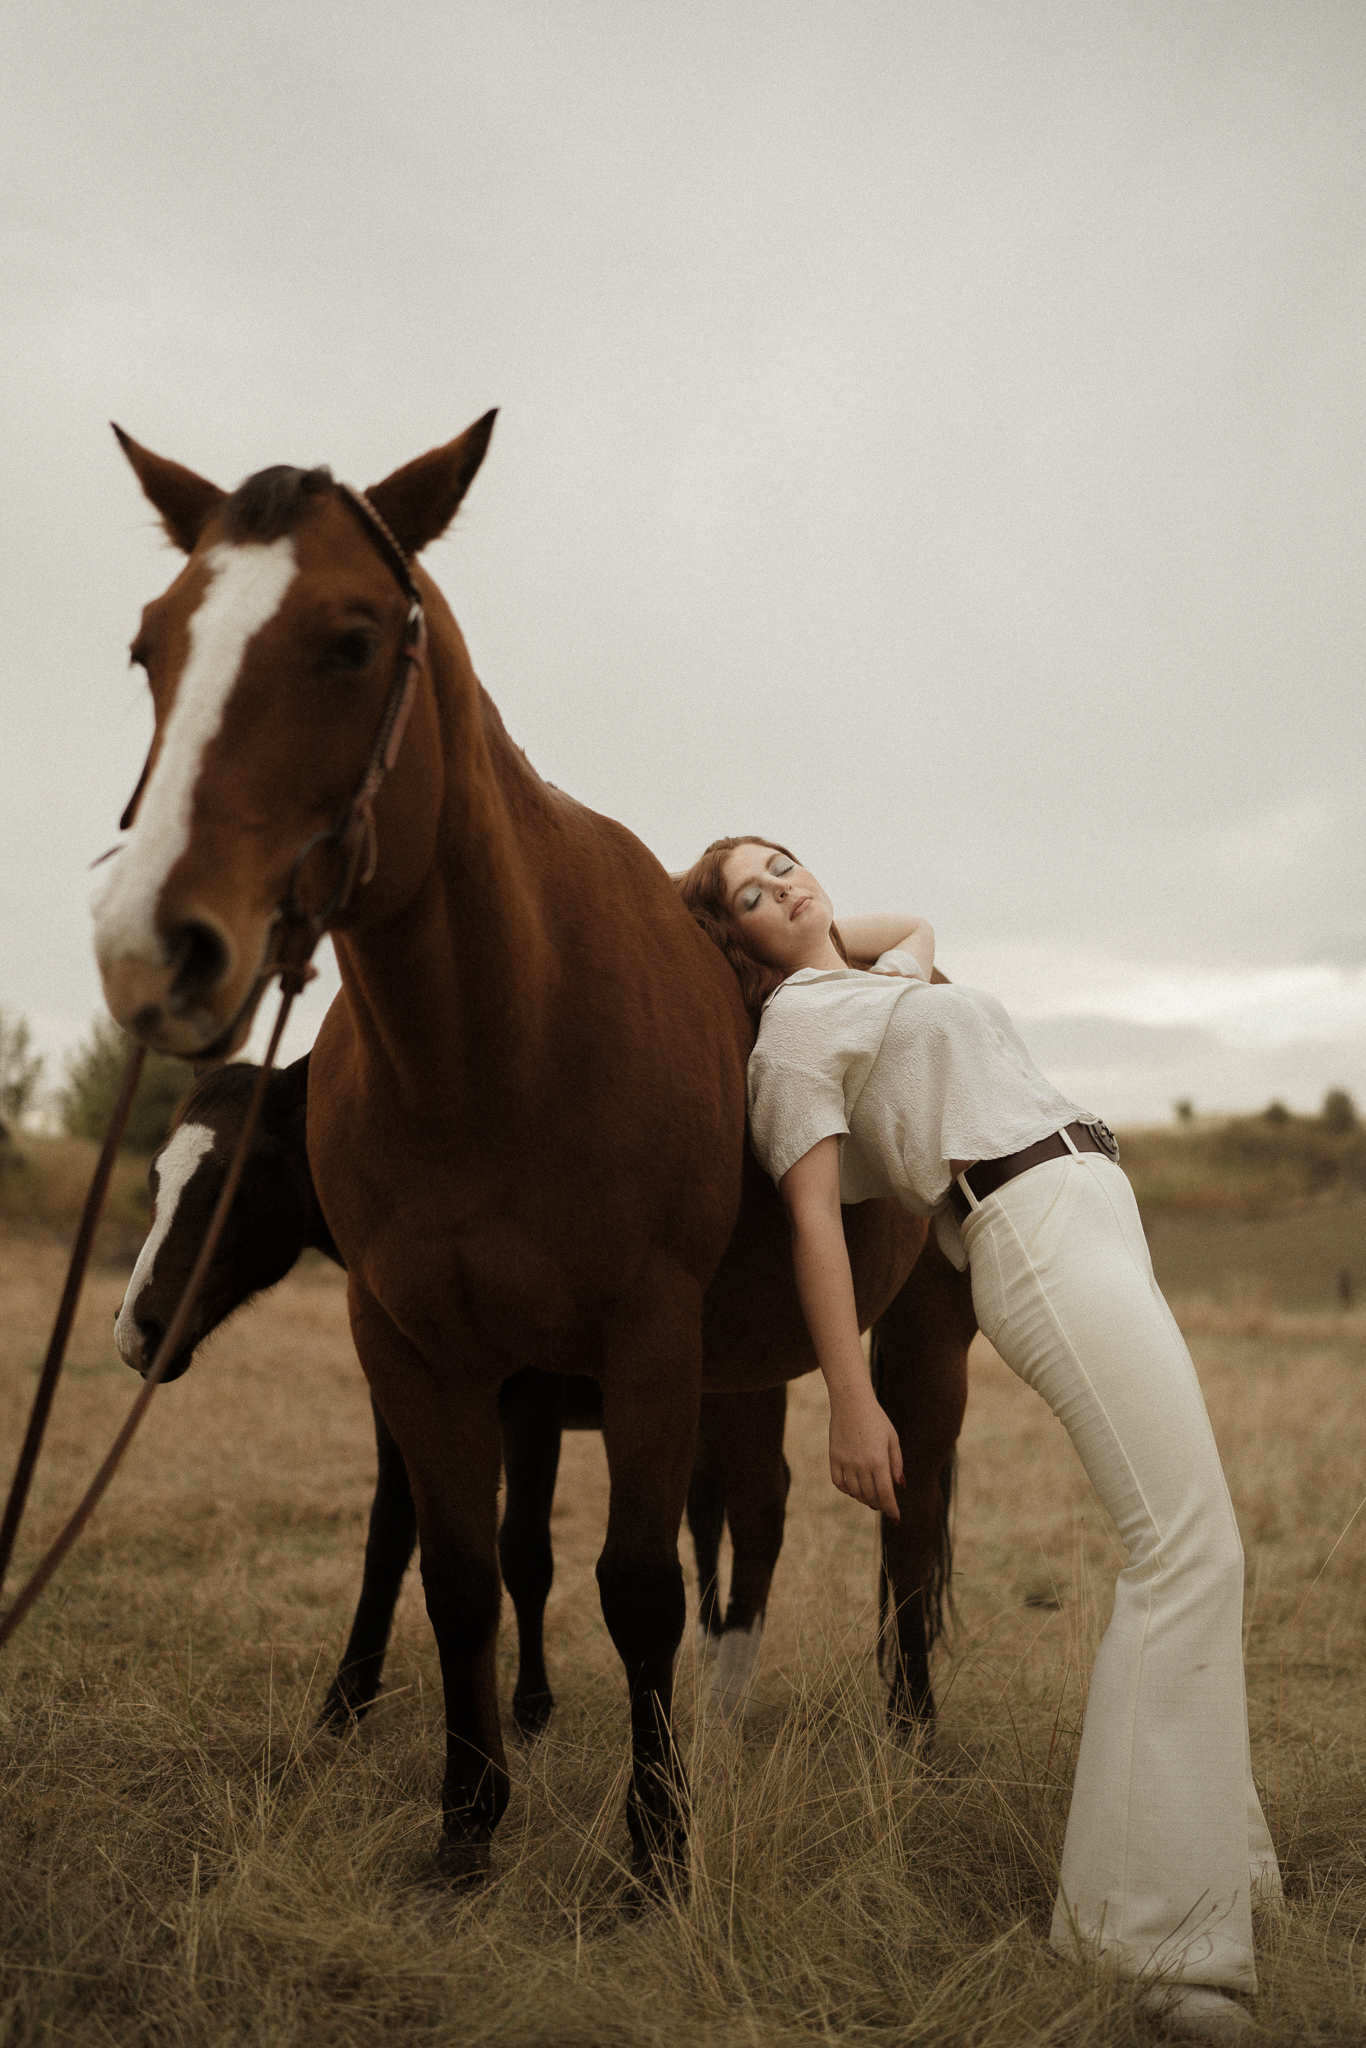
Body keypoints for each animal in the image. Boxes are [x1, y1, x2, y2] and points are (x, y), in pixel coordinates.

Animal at [93, 423, 970, 1892]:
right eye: (151, 645)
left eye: (348, 640)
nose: (151, 945)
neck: (500, 1045)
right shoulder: (424, 1357)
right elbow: (454, 1566)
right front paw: (465, 1817)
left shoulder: (634, 1343)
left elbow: (627, 1582)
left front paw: (654, 1847)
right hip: (746, 1369)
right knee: (763, 1511)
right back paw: (732, 1715)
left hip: (912, 1340)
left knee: (906, 1529)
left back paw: (904, 1731)